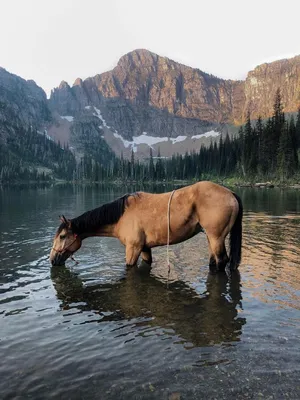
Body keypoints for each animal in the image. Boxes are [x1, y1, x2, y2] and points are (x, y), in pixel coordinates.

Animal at [50, 181, 243, 272]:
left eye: (62, 236)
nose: (52, 260)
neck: (121, 216)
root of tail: (230, 193)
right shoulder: (144, 248)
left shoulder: (133, 249)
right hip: (211, 238)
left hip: (216, 237)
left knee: (222, 261)